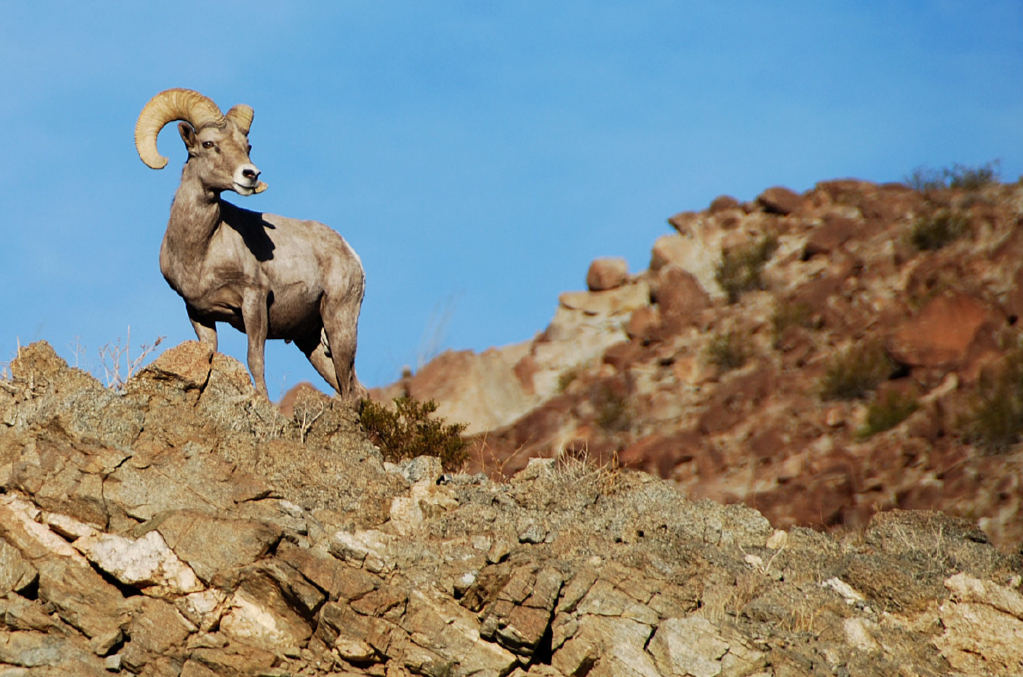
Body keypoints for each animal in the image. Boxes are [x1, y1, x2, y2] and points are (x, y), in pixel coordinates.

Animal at [135, 88, 367, 402]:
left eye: (247, 146)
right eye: (208, 143)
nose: (250, 175)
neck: (200, 252)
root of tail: (351, 255)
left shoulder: (254, 300)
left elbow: (255, 360)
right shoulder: (198, 314)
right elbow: (210, 356)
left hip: (339, 324)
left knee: (352, 392)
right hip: (312, 342)